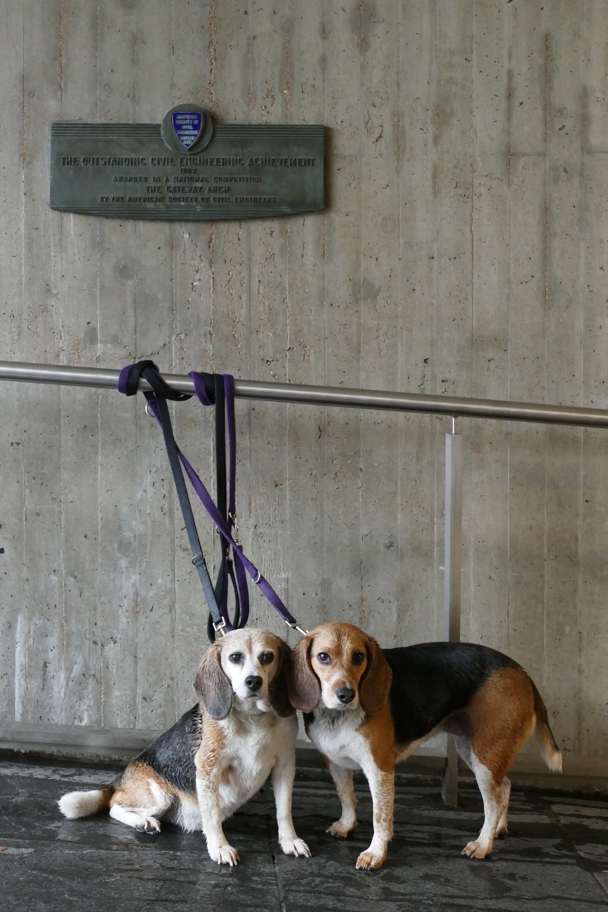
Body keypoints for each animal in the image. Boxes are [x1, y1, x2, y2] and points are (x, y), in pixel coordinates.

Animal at [59, 632, 312, 864]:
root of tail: (121, 778)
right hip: (159, 796)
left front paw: (290, 841)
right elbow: (212, 815)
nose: (254, 681)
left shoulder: (284, 766)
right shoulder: (208, 770)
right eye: (235, 657)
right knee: (114, 805)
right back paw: (144, 822)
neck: (253, 718)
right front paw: (220, 847)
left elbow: (284, 810)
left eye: (267, 656)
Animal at [288, 624, 564, 872]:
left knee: (493, 804)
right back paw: (498, 829)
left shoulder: (380, 768)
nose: (346, 694)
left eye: (358, 657)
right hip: (475, 751)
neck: (336, 716)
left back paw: (483, 844)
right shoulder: (335, 762)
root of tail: (522, 672)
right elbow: (346, 797)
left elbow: (380, 816)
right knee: (504, 786)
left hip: (486, 755)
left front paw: (375, 854)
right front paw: (347, 825)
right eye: (323, 656)